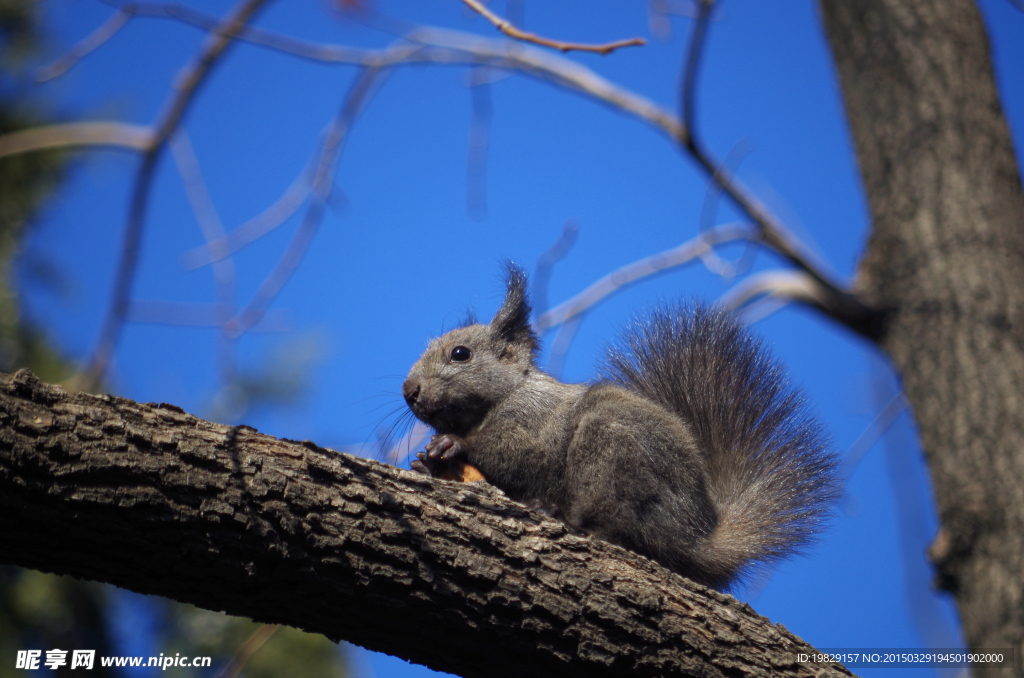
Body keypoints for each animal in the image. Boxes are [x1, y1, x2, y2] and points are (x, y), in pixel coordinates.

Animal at [401, 266, 839, 589]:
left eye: (460, 354)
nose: (409, 391)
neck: (504, 396)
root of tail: (698, 538)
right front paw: (429, 466)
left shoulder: (537, 418)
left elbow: (521, 454)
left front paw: (454, 444)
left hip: (612, 452)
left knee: (621, 528)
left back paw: (563, 516)